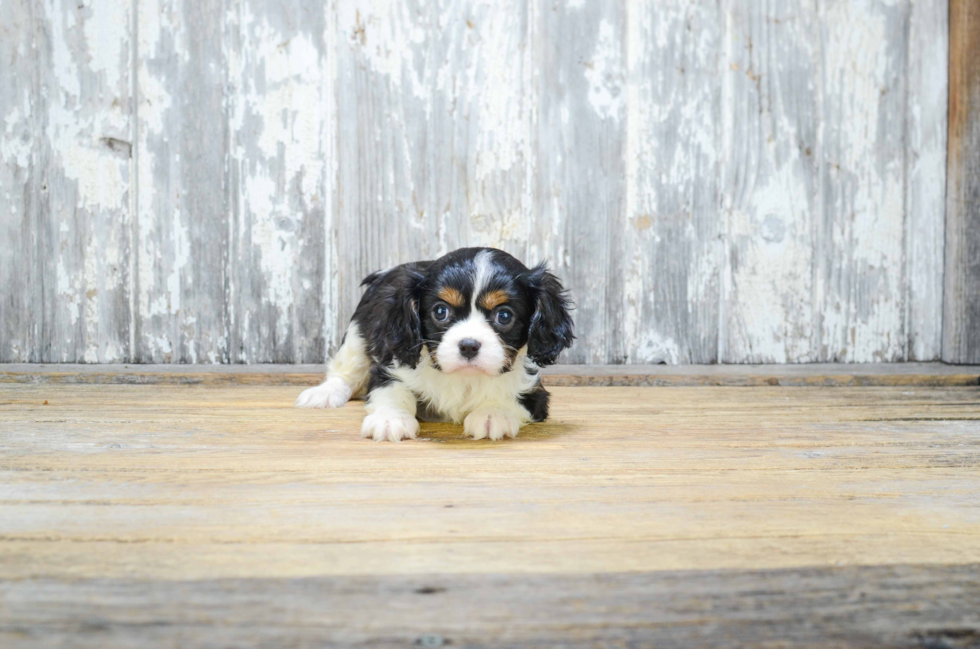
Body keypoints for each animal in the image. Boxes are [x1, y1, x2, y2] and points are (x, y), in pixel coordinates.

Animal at [294, 247, 580, 440]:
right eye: (440, 312)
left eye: (504, 316)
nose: (468, 345)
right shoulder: (391, 365)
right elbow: (393, 390)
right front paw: (390, 419)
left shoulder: (536, 393)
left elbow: (512, 398)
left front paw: (493, 414)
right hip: (357, 335)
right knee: (346, 371)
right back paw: (325, 393)